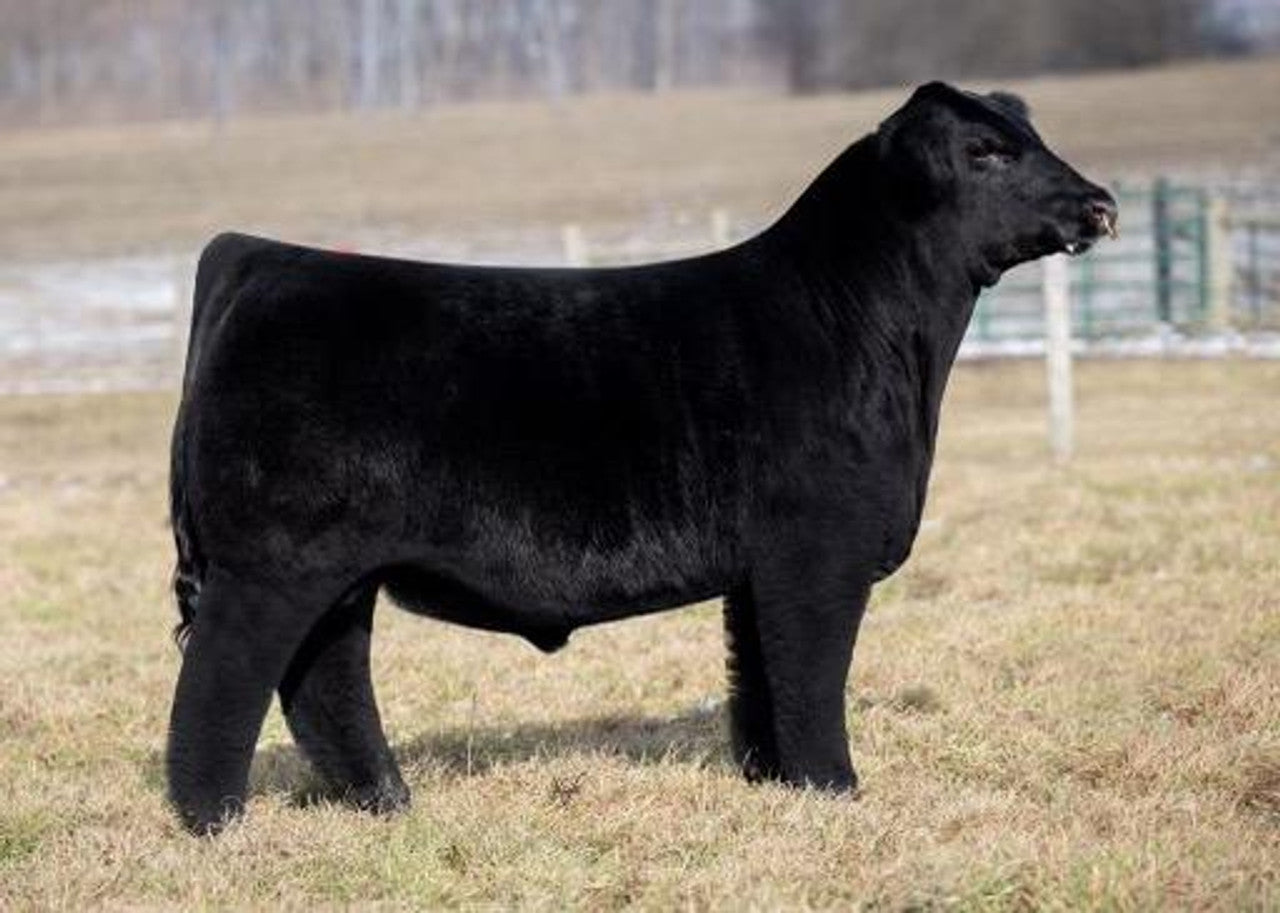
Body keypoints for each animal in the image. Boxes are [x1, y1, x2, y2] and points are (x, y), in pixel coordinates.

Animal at [166, 82, 1117, 835]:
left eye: (1030, 134)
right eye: (986, 151)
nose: (1101, 204)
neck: (865, 324)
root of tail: (256, 255)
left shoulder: (759, 567)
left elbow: (758, 677)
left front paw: (775, 784)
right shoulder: (819, 550)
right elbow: (811, 674)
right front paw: (836, 789)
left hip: (336, 571)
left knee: (324, 680)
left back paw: (388, 802)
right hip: (272, 563)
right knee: (223, 679)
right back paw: (213, 821)